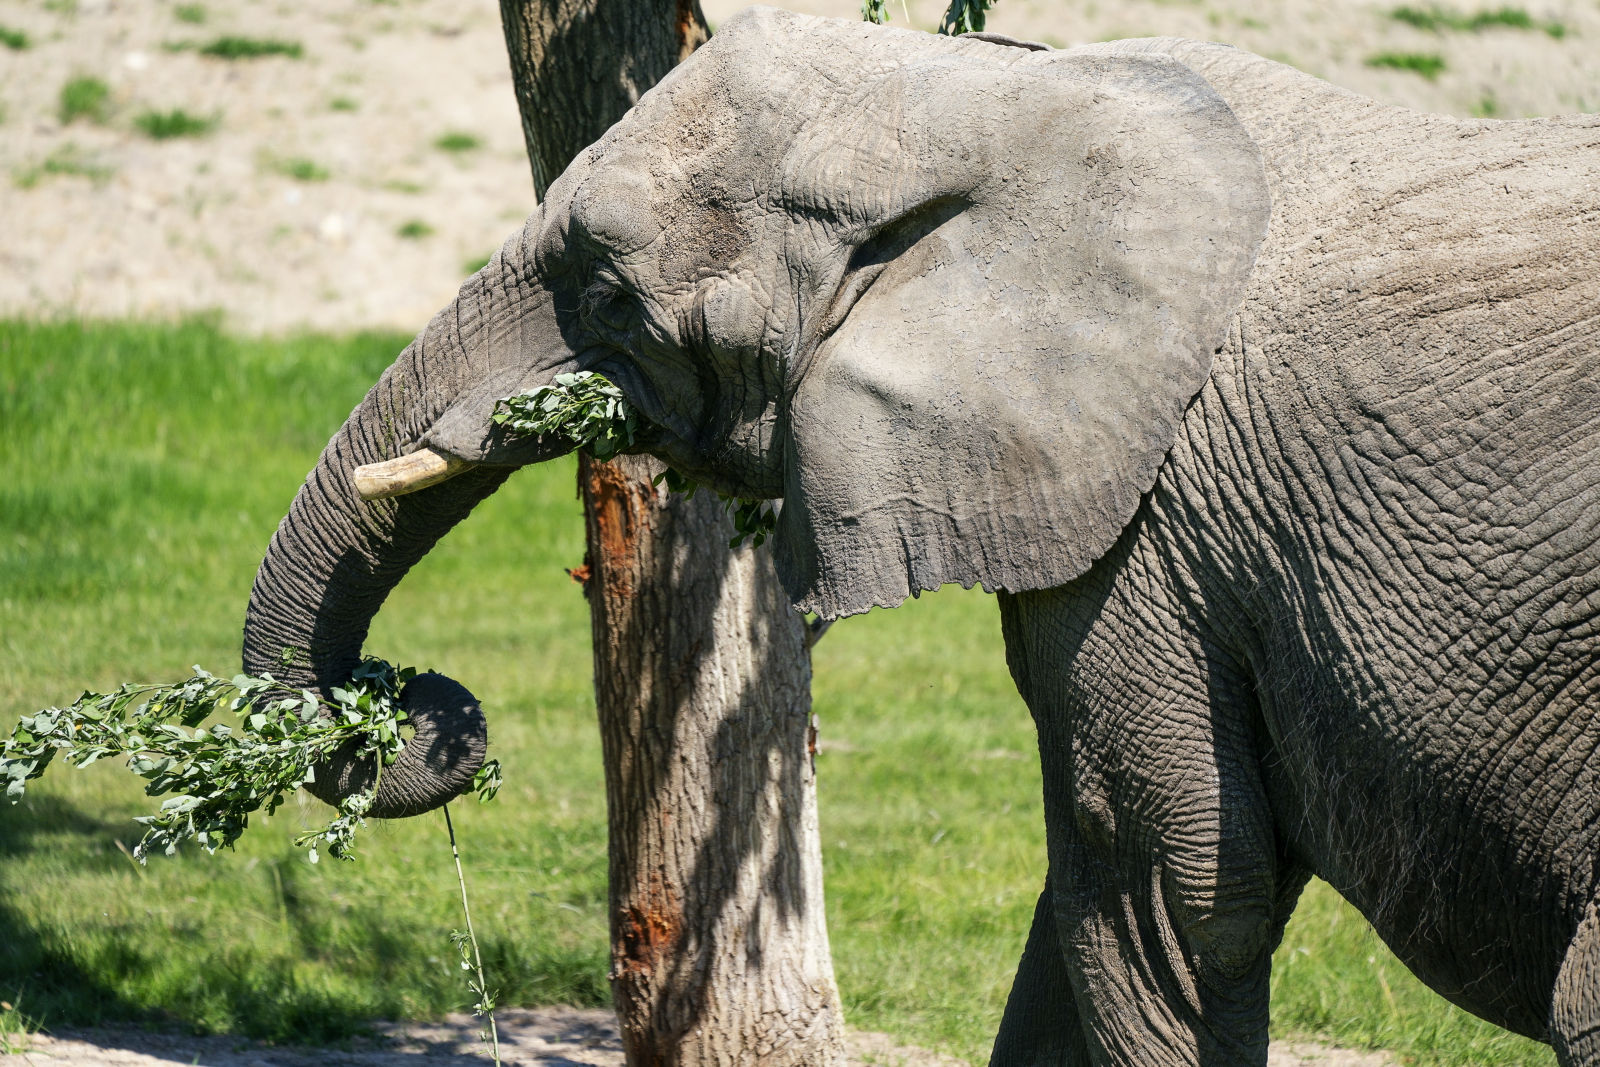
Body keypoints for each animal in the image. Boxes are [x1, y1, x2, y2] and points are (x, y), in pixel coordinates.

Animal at [240, 10, 1600, 1067]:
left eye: (611, 298)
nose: (416, 704)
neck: (1003, 94)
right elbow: (1079, 919)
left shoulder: (1150, 531)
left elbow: (1164, 903)